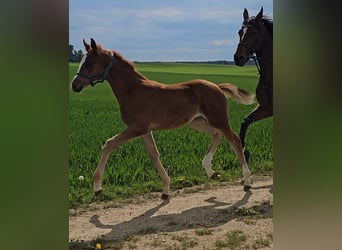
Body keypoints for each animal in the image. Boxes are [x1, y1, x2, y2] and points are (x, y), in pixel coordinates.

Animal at [71, 38, 255, 199]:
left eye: (88, 63)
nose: (74, 85)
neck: (133, 90)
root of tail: (217, 86)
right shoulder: (145, 130)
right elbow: (154, 154)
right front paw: (166, 190)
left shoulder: (137, 127)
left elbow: (109, 144)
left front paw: (97, 188)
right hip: (197, 122)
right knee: (217, 135)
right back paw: (210, 170)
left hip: (219, 119)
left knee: (234, 140)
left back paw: (247, 180)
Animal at [232, 7, 272, 160]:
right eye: (240, 32)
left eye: (254, 32)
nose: (238, 57)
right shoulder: (266, 108)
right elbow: (245, 121)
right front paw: (244, 151)